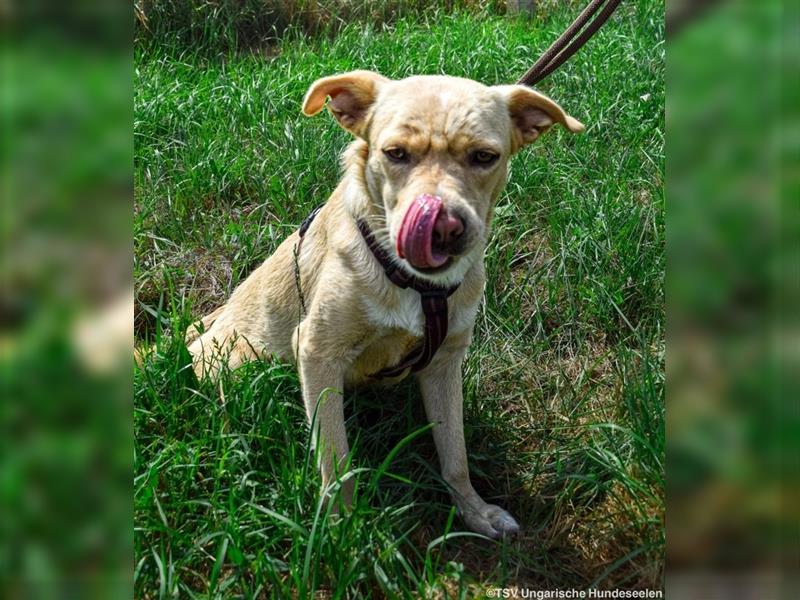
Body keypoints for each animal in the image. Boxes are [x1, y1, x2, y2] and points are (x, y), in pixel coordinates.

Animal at [188, 71, 588, 540]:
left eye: (484, 157)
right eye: (395, 153)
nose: (443, 227)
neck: (420, 287)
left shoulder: (445, 362)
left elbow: (455, 455)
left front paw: (474, 511)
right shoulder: (317, 351)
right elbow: (336, 460)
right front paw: (340, 528)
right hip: (240, 366)